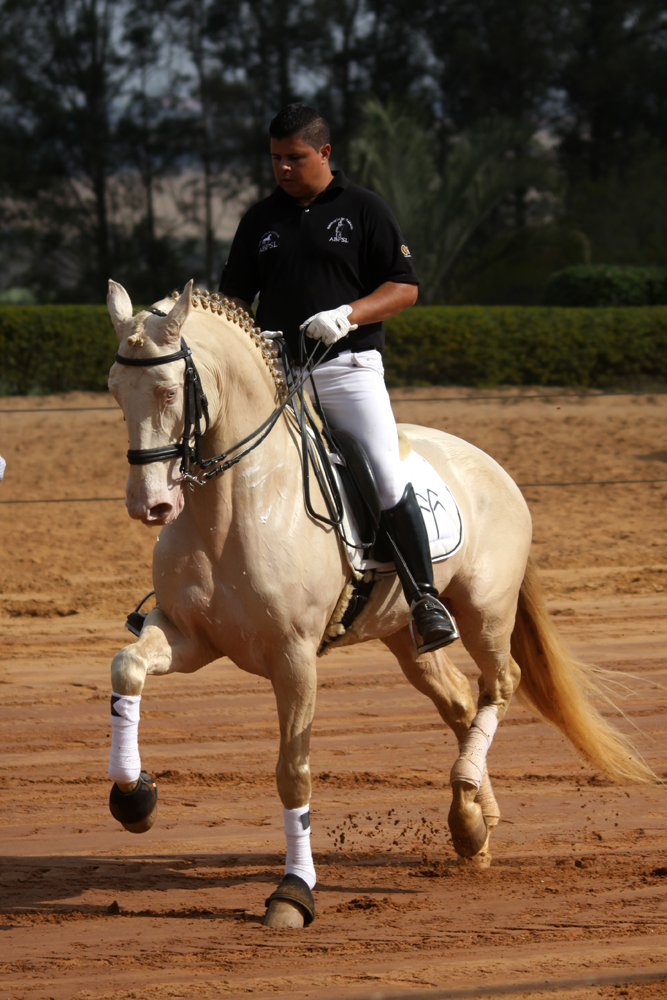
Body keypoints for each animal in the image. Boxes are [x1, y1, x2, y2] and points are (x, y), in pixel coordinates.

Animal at [105, 279, 656, 928]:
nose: (151, 505)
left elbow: (293, 774)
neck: (238, 502)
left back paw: (468, 805)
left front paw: (293, 893)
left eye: (169, 390)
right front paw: (134, 797)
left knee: (501, 682)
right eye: (116, 391)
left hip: (485, 613)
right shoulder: (188, 635)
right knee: (460, 699)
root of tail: (490, 464)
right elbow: (127, 668)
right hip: (404, 634)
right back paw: (475, 822)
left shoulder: (294, 658)